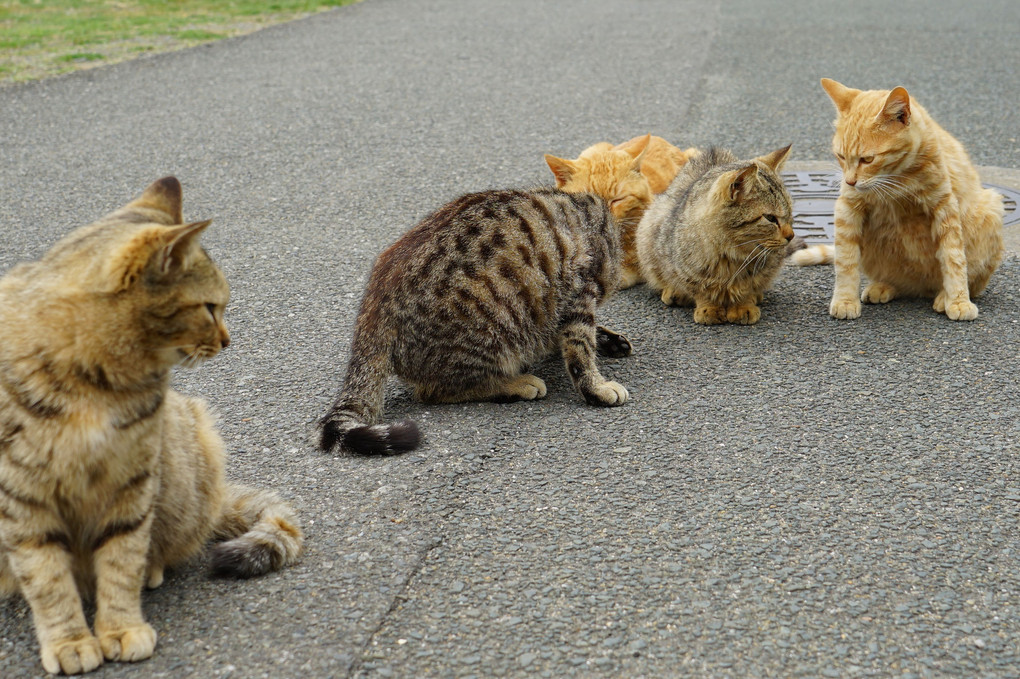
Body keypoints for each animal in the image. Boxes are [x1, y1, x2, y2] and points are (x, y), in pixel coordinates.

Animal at [0, 177, 301, 672]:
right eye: (210, 307)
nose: (228, 340)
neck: (94, 381)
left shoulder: (132, 481)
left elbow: (121, 560)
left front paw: (120, 628)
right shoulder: (21, 497)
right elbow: (46, 578)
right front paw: (69, 640)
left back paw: (151, 571)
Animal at [322, 183, 632, 454]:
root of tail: (371, 309)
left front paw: (608, 339)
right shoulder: (581, 294)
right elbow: (580, 352)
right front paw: (597, 388)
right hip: (492, 331)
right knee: (436, 390)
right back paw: (515, 384)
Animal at [636, 143, 795, 324]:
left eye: (790, 214)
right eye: (770, 218)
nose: (791, 236)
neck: (730, 255)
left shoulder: (766, 268)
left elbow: (748, 287)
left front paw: (743, 305)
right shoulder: (685, 270)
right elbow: (699, 289)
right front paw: (709, 307)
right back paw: (674, 292)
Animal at [820, 77, 1003, 322]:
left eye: (867, 160)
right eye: (840, 156)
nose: (850, 181)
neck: (895, 179)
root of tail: (921, 289)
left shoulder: (944, 207)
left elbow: (954, 258)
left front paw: (958, 301)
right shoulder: (848, 208)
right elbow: (845, 260)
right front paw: (845, 300)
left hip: (991, 207)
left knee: (969, 280)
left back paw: (943, 297)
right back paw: (884, 286)